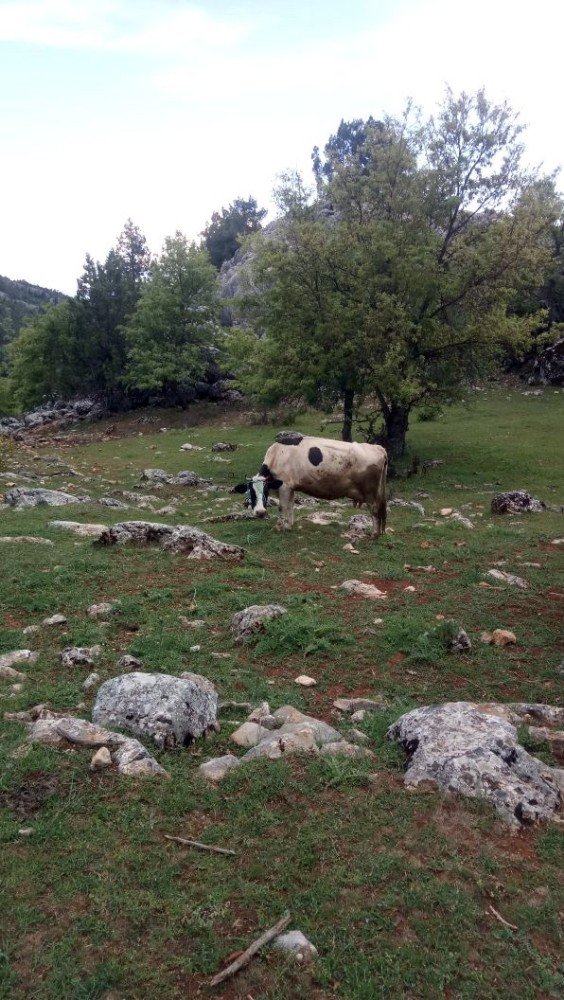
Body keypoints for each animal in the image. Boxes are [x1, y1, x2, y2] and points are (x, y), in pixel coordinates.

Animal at [231, 434, 386, 536]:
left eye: (265, 490)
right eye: (250, 492)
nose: (260, 512)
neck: (277, 456)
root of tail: (379, 448)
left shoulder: (284, 486)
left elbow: (283, 507)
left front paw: (281, 526)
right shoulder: (291, 487)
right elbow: (291, 506)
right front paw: (289, 525)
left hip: (370, 492)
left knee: (374, 510)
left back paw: (374, 534)